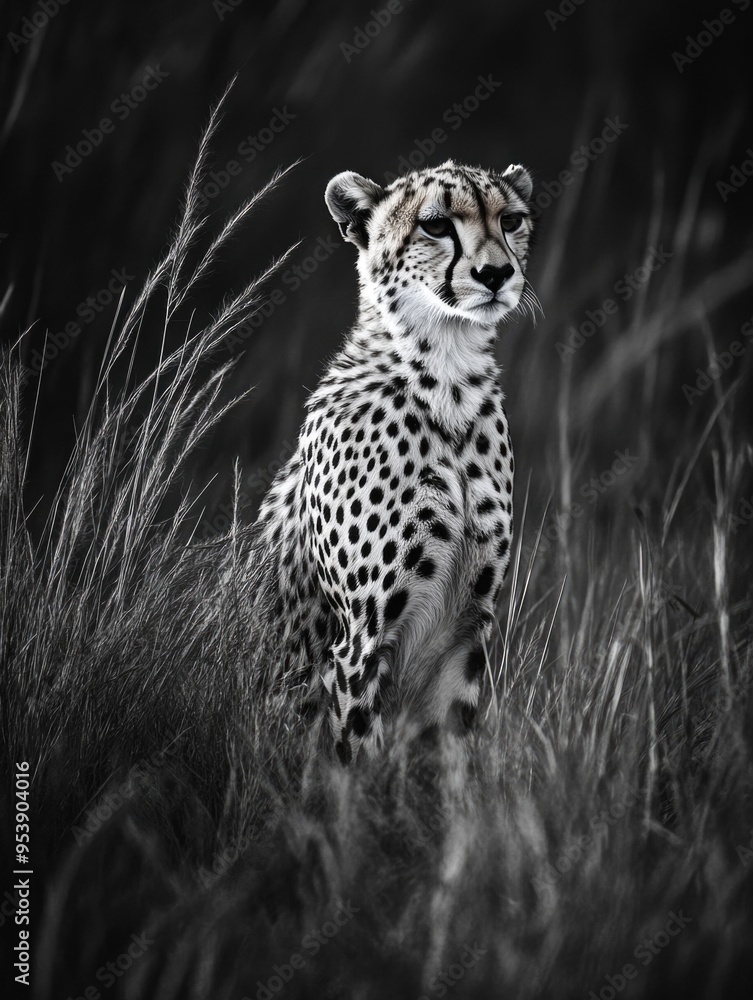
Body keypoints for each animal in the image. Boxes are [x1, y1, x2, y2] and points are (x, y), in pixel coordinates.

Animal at [252, 159, 537, 764]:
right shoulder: (359, 642)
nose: (497, 273)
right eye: (436, 225)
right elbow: (359, 760)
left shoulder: (466, 633)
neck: (449, 381)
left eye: (511, 220)